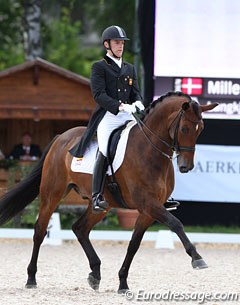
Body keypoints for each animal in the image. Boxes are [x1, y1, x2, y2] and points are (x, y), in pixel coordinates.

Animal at [0, 91, 218, 292]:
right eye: (184, 128)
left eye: (200, 130)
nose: (186, 166)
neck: (149, 151)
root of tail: (61, 137)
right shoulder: (148, 204)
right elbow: (175, 223)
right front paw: (197, 258)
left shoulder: (148, 210)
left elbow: (134, 244)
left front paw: (123, 283)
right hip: (52, 192)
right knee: (40, 230)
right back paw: (31, 279)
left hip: (101, 205)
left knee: (80, 228)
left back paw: (95, 274)